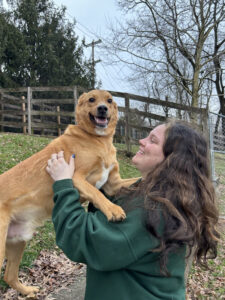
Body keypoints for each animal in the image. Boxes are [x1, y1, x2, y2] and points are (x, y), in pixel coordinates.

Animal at [0, 89, 139, 298]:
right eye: (92, 99)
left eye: (109, 100)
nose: (102, 109)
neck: (98, 140)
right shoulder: (77, 178)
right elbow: (96, 193)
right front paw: (112, 210)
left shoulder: (113, 184)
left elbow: (139, 178)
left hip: (18, 241)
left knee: (9, 276)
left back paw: (28, 290)